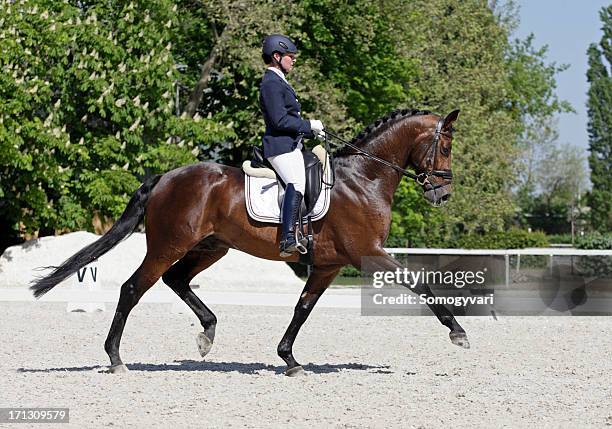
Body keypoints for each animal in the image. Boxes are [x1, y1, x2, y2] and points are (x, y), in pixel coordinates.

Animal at [31, 107, 466, 374]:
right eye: (445, 147)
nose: (443, 195)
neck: (363, 179)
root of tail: (164, 178)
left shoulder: (330, 264)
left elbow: (302, 308)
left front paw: (289, 359)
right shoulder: (368, 254)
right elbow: (419, 283)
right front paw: (457, 332)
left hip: (211, 247)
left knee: (177, 280)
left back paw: (207, 334)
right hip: (169, 245)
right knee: (134, 288)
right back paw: (116, 358)